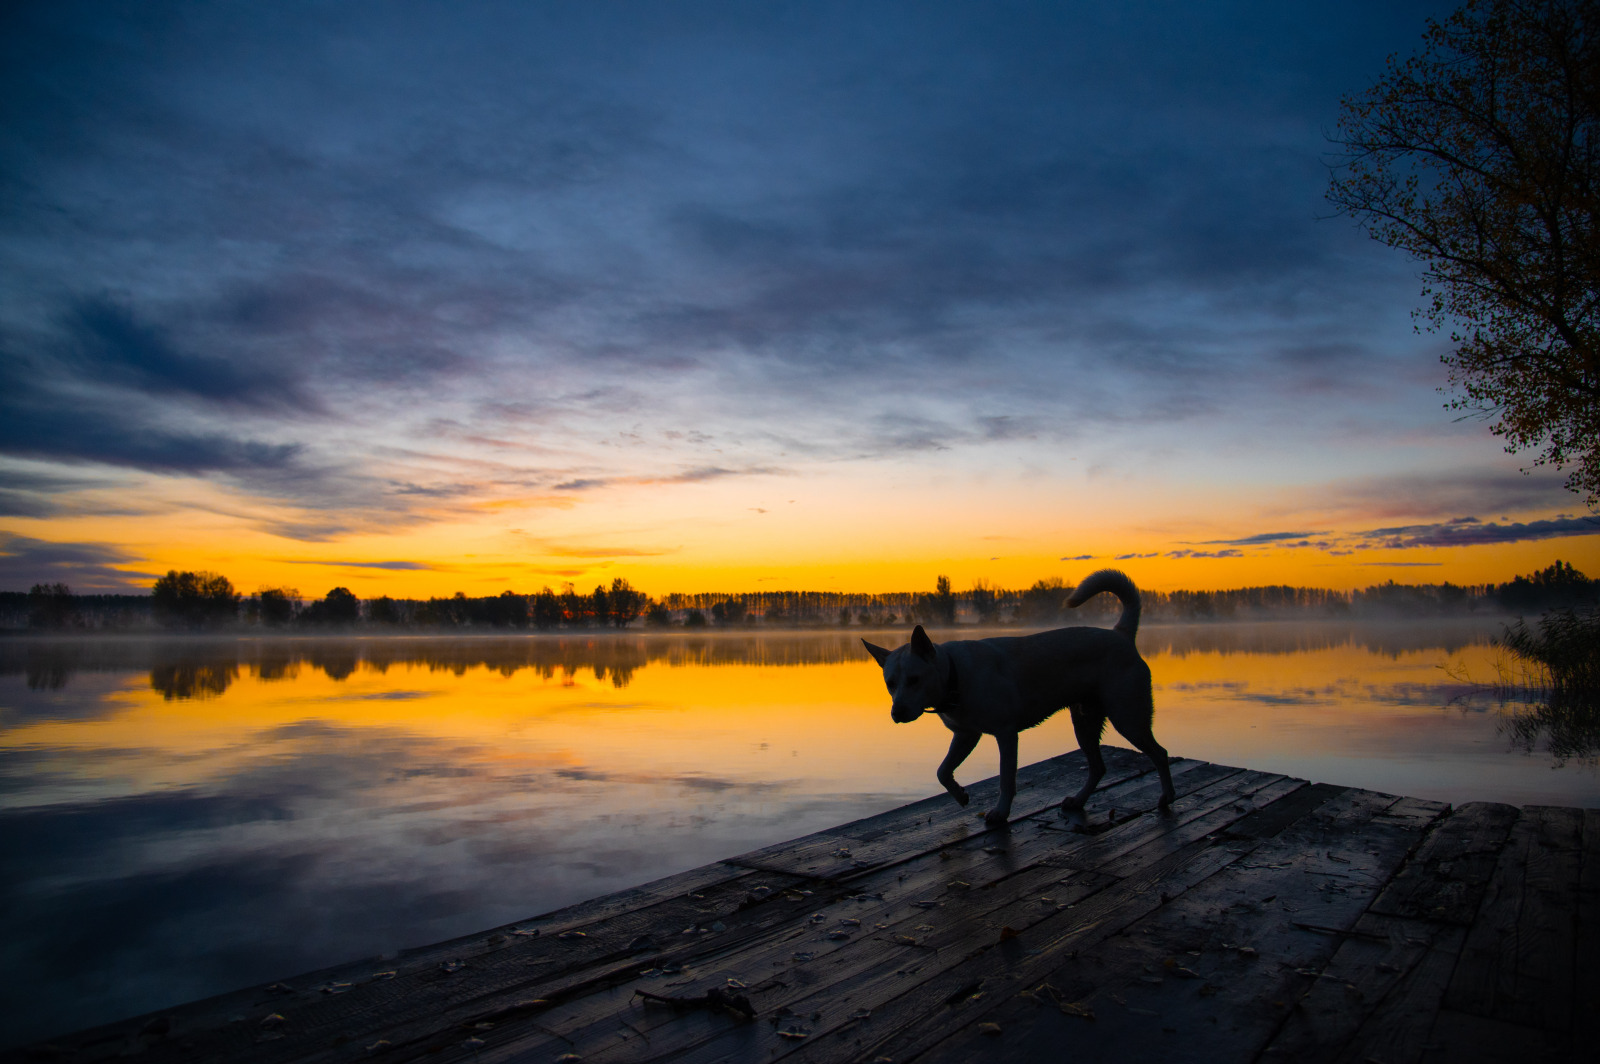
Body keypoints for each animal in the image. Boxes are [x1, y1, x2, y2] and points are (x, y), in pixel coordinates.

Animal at [864, 569, 1177, 825]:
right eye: (890, 683)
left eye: (914, 679)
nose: (897, 713)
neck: (955, 675)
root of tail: (1121, 634)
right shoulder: (966, 735)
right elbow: (942, 771)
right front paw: (961, 795)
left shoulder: (1006, 734)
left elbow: (1006, 779)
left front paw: (1000, 813)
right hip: (1084, 722)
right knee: (1098, 767)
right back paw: (1078, 801)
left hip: (1127, 717)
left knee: (1160, 754)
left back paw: (1167, 798)